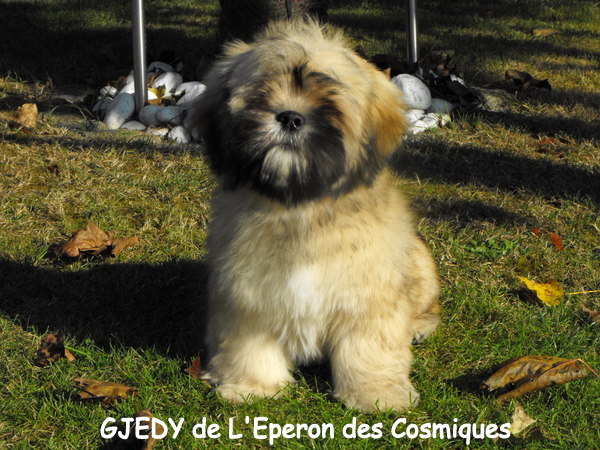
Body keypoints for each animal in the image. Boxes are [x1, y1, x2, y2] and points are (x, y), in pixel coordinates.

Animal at [185, 19, 440, 412]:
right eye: (261, 94)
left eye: (328, 103)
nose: (290, 117)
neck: (300, 204)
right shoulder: (247, 294)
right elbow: (250, 345)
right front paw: (251, 385)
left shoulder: (367, 294)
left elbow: (370, 347)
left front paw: (376, 393)